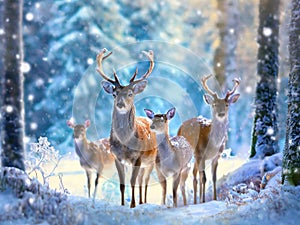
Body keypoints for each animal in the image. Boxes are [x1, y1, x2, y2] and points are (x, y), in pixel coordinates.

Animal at [96, 48, 158, 207]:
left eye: (130, 93)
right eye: (114, 93)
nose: (120, 103)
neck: (125, 144)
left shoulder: (138, 157)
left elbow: (132, 181)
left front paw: (133, 205)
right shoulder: (117, 157)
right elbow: (122, 184)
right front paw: (123, 204)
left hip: (151, 160)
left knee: (145, 181)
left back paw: (144, 201)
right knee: (141, 180)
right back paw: (141, 201)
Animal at [177, 74, 240, 204]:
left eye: (227, 104)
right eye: (214, 104)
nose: (221, 114)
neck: (213, 145)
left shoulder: (217, 155)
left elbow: (213, 178)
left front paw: (214, 199)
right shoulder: (200, 153)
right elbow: (204, 178)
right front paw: (204, 200)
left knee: (194, 175)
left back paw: (195, 201)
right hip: (188, 154)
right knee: (184, 177)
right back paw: (187, 203)